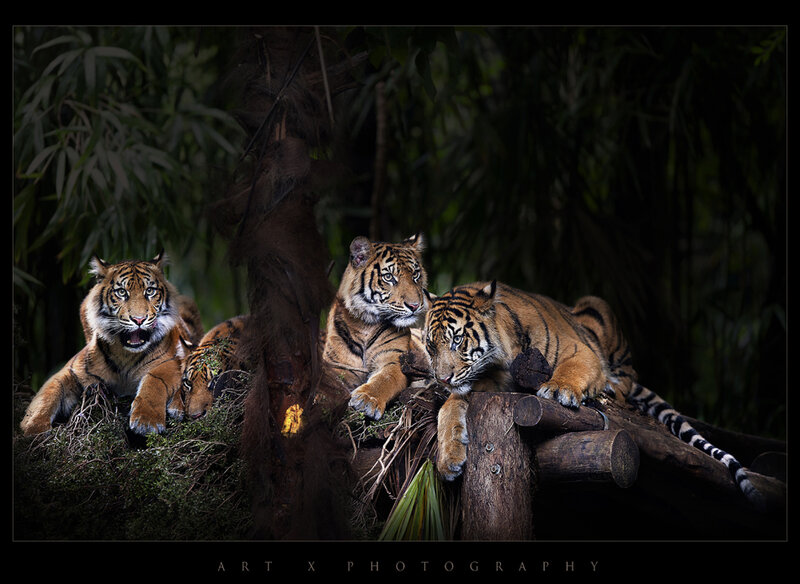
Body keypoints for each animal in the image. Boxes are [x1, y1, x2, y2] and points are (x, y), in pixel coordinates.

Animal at [19, 251, 203, 437]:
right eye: (121, 292)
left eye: (149, 291)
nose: (139, 319)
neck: (126, 354)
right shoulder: (71, 371)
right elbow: (47, 396)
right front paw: (33, 429)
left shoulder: (170, 363)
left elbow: (154, 382)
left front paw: (146, 421)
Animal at [322, 234, 428, 420]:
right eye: (389, 277)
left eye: (415, 274)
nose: (415, 305)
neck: (365, 324)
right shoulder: (338, 365)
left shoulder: (393, 360)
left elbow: (384, 380)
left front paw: (366, 400)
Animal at [422, 280, 764, 508]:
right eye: (430, 345)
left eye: (457, 340)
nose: (442, 377)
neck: (501, 361)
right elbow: (450, 407)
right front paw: (449, 459)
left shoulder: (580, 350)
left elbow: (572, 369)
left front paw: (559, 390)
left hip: (599, 309)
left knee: (628, 379)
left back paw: (611, 386)